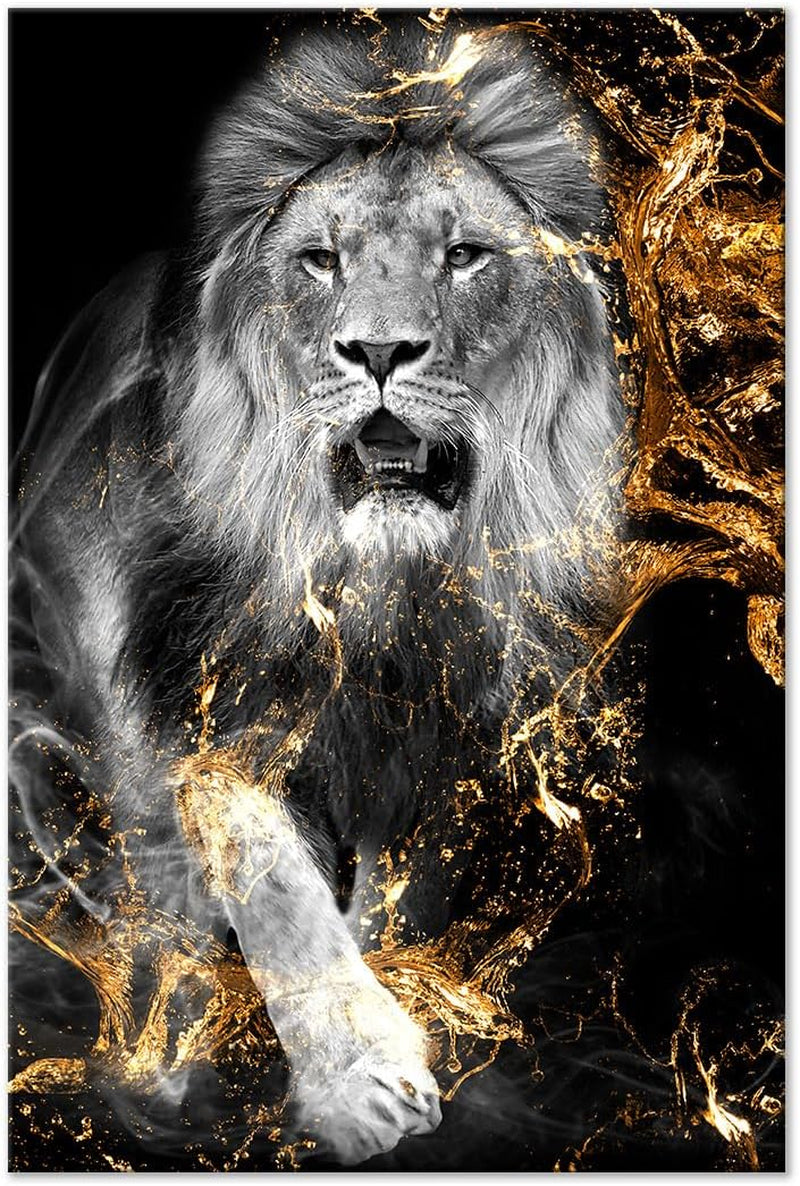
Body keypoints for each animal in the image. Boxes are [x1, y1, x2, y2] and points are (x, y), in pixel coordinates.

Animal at [13, 14, 623, 1167]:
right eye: (320, 260)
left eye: (463, 255)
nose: (377, 350)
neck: (375, 589)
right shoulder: (202, 711)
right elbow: (275, 884)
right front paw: (361, 1086)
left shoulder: (437, 746)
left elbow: (393, 898)